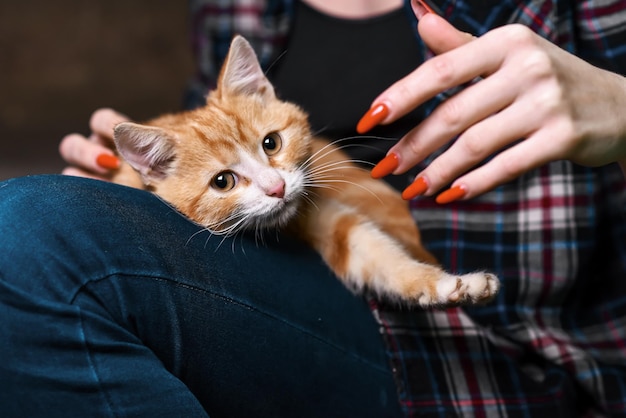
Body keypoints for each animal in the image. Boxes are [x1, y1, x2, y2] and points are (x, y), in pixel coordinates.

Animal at [109, 36, 494, 306]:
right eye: (222, 181)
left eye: (271, 143)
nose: (276, 188)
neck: (282, 231)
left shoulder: (324, 216)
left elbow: (372, 251)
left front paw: (448, 283)